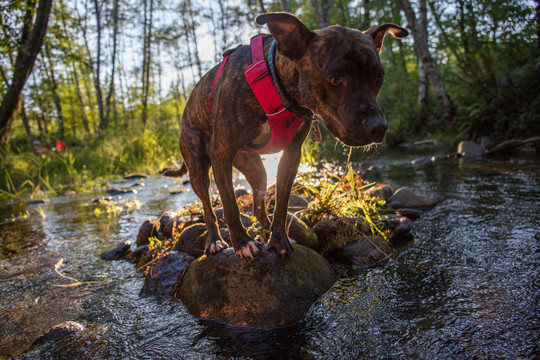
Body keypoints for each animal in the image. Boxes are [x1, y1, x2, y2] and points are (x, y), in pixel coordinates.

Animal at [162, 11, 408, 258]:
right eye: (335, 79)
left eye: (379, 78)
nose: (378, 127)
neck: (276, 81)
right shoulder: (221, 154)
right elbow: (230, 205)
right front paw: (242, 241)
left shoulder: (291, 155)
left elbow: (281, 203)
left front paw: (279, 239)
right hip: (198, 167)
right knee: (208, 208)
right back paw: (214, 240)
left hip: (254, 167)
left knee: (258, 203)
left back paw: (265, 226)